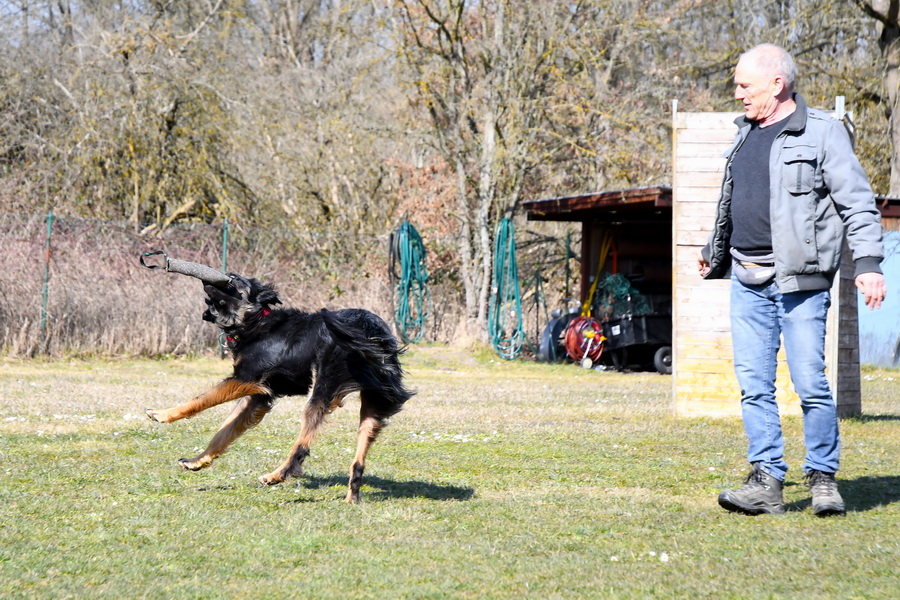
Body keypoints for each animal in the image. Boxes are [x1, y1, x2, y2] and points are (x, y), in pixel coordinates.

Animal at [148, 276, 414, 502]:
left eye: (233, 282)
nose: (205, 280)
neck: (254, 321)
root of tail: (370, 329)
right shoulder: (258, 398)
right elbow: (222, 433)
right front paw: (197, 461)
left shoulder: (246, 379)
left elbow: (199, 400)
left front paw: (162, 414)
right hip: (374, 403)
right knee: (359, 459)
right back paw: (352, 498)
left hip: (323, 388)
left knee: (302, 447)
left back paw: (276, 475)